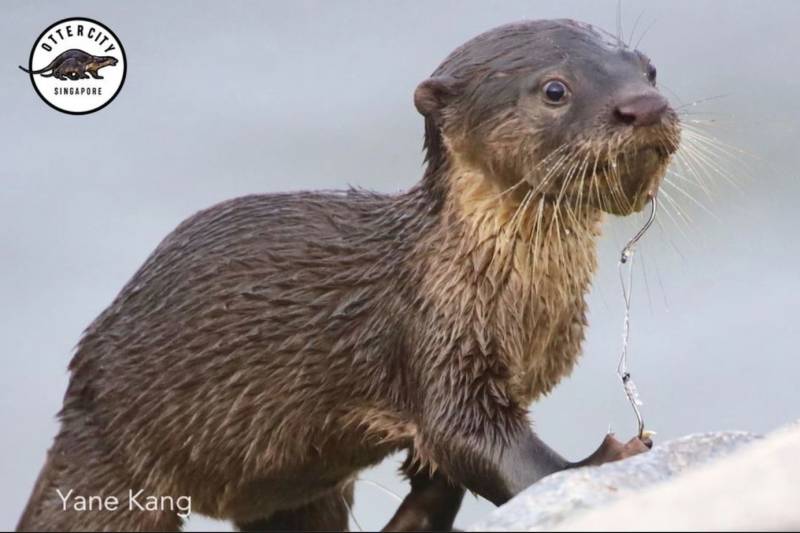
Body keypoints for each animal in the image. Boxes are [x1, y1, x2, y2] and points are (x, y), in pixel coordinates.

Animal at [17, 18, 680, 528]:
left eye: (649, 70)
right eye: (554, 89)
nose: (644, 106)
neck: (512, 293)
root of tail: (79, 390)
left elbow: (440, 471)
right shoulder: (436, 335)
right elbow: (481, 446)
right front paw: (607, 460)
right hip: (114, 462)